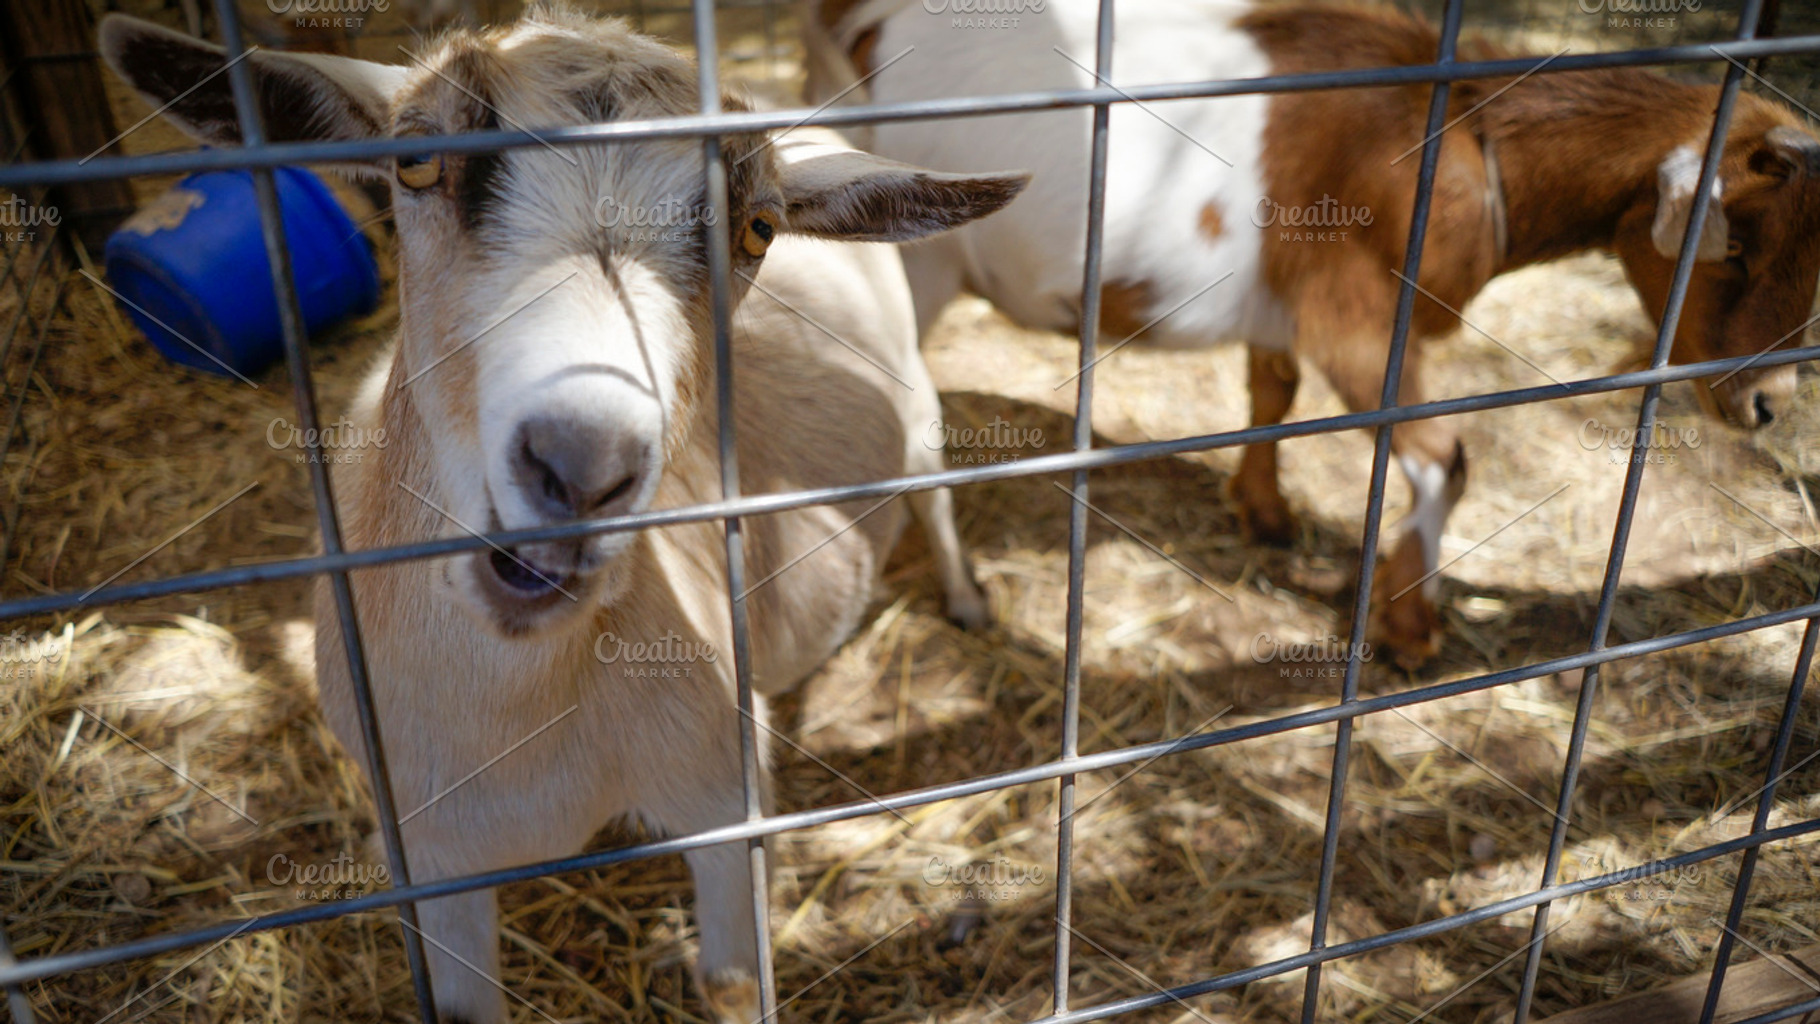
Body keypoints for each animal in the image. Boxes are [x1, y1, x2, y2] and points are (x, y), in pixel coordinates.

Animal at [101, 9, 1026, 1023]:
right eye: (414, 162)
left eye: (758, 227)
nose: (582, 468)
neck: (521, 727)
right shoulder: (431, 853)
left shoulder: (720, 795)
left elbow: (734, 981)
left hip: (919, 401)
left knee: (935, 493)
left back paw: (969, 603)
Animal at [805, 0, 1820, 665]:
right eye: (1736, 246)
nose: (1768, 404)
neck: (1464, 131)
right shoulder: (1358, 313)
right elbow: (1441, 457)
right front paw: (1408, 631)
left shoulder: (1287, 306)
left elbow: (1275, 392)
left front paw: (1264, 514)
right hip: (914, 277)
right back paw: (961, 592)